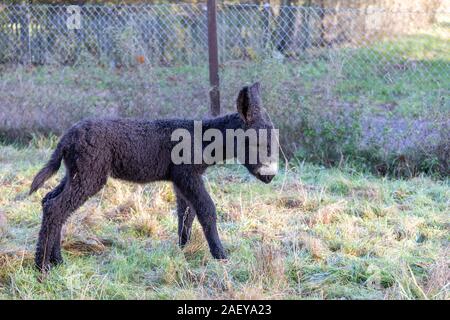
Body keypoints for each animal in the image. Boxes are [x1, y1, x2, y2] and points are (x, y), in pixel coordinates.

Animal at [29, 82, 276, 270]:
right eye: (257, 142)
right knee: (56, 208)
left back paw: (57, 260)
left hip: (76, 172)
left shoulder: (181, 181)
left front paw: (183, 250)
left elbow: (185, 215)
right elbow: (207, 210)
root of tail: (66, 137)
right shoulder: (188, 176)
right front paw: (221, 256)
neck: (204, 139)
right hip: (90, 175)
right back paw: (42, 267)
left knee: (49, 201)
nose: (270, 177)